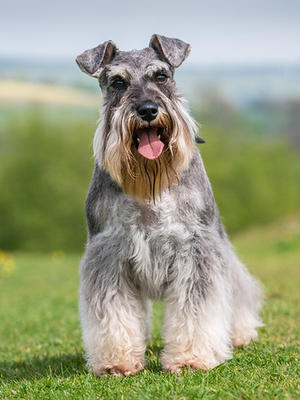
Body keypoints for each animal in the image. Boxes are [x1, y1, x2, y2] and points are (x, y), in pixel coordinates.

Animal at [75, 33, 262, 376]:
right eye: (118, 82)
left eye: (161, 76)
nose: (148, 109)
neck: (151, 181)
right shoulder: (108, 255)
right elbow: (114, 311)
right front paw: (117, 360)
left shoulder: (197, 252)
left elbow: (197, 310)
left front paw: (190, 357)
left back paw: (240, 332)